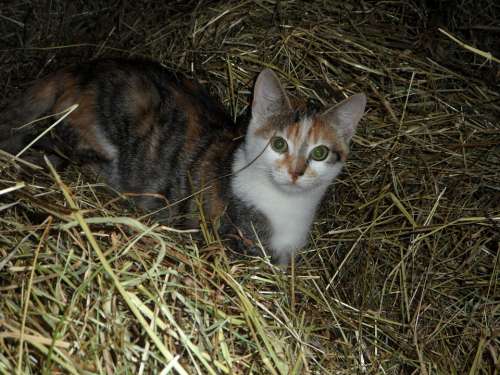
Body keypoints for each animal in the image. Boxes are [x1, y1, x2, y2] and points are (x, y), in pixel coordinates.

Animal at [0, 58, 368, 266]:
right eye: (279, 144)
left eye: (319, 152)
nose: (295, 172)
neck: (285, 205)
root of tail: (77, 70)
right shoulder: (237, 241)